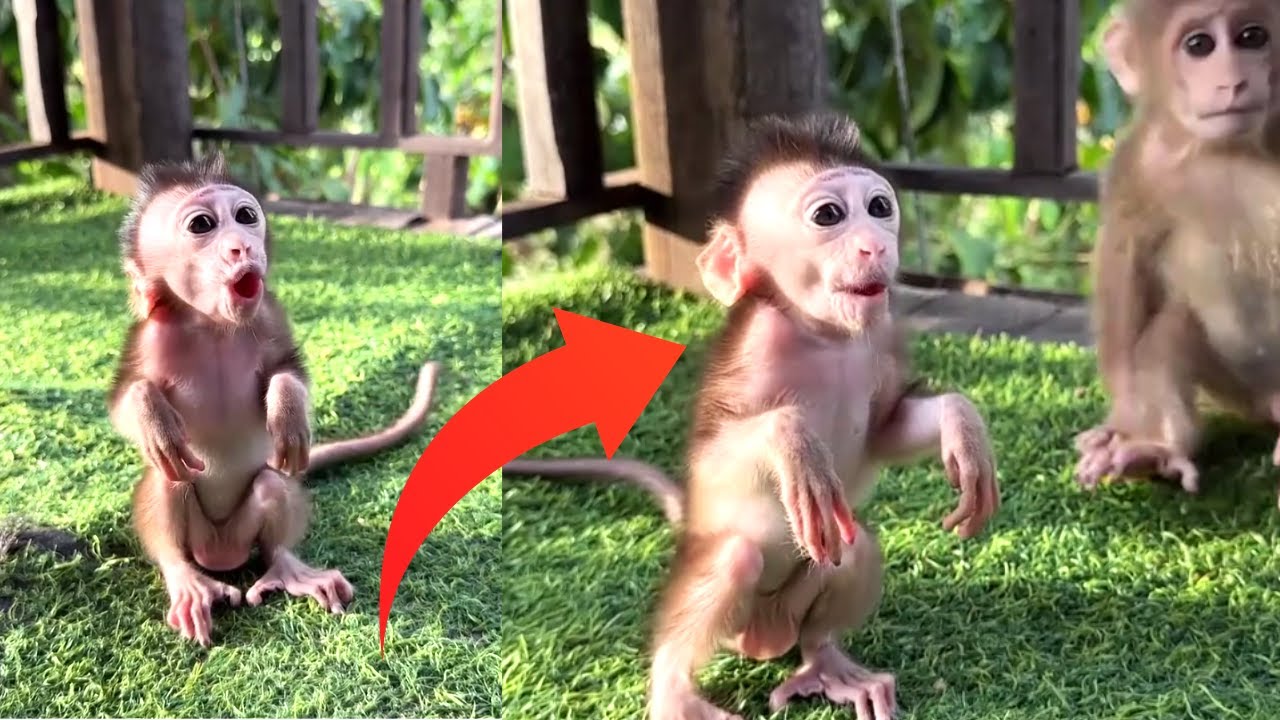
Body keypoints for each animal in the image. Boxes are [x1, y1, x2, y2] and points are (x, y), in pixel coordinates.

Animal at [107, 154, 440, 646]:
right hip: (195, 531)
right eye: (202, 224)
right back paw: (187, 581)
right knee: (170, 482)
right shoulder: (148, 336)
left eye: (246, 216)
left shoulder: (269, 317)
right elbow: (124, 400)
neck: (213, 325)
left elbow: (289, 372)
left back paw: (289, 567)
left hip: (250, 525)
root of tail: (222, 553)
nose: (242, 248)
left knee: (272, 485)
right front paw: (153, 420)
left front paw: (287, 410)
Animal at [503, 114, 1000, 720]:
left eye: (880, 207)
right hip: (733, 612)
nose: (875, 245)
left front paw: (963, 425)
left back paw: (825, 662)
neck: (824, 337)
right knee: (735, 557)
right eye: (829, 215)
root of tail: (765, 638)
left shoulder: (881, 341)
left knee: (851, 548)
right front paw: (792, 441)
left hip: (793, 611)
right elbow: (715, 458)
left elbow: (887, 430)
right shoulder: (754, 350)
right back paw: (674, 688)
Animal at [1074, 0, 1280, 498]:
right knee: (1164, 337)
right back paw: (1155, 450)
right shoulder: (1139, 163)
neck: (1228, 149)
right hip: (1238, 386)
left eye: (1252, 36)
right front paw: (1124, 428)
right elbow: (1125, 266)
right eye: (1199, 45)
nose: (1233, 81)